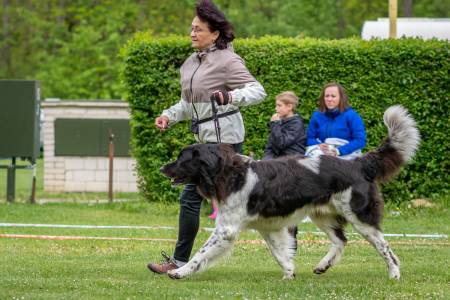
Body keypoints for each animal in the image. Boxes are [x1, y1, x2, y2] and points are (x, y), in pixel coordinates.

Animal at [163, 105, 422, 278]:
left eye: (182, 159)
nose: (162, 167)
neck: (230, 174)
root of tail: (358, 163)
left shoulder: (226, 229)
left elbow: (201, 253)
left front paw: (180, 271)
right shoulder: (268, 225)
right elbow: (280, 253)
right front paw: (289, 273)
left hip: (359, 216)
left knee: (384, 247)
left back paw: (394, 274)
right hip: (322, 214)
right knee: (341, 240)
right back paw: (323, 265)